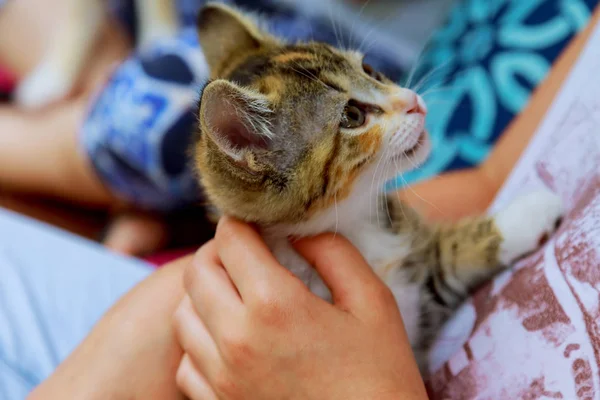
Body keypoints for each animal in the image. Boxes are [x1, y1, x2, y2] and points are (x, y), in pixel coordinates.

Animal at [195, 3, 564, 374]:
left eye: (369, 69)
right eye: (353, 116)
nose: (414, 101)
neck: (356, 222)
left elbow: (446, 253)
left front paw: (522, 217)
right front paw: (533, 212)